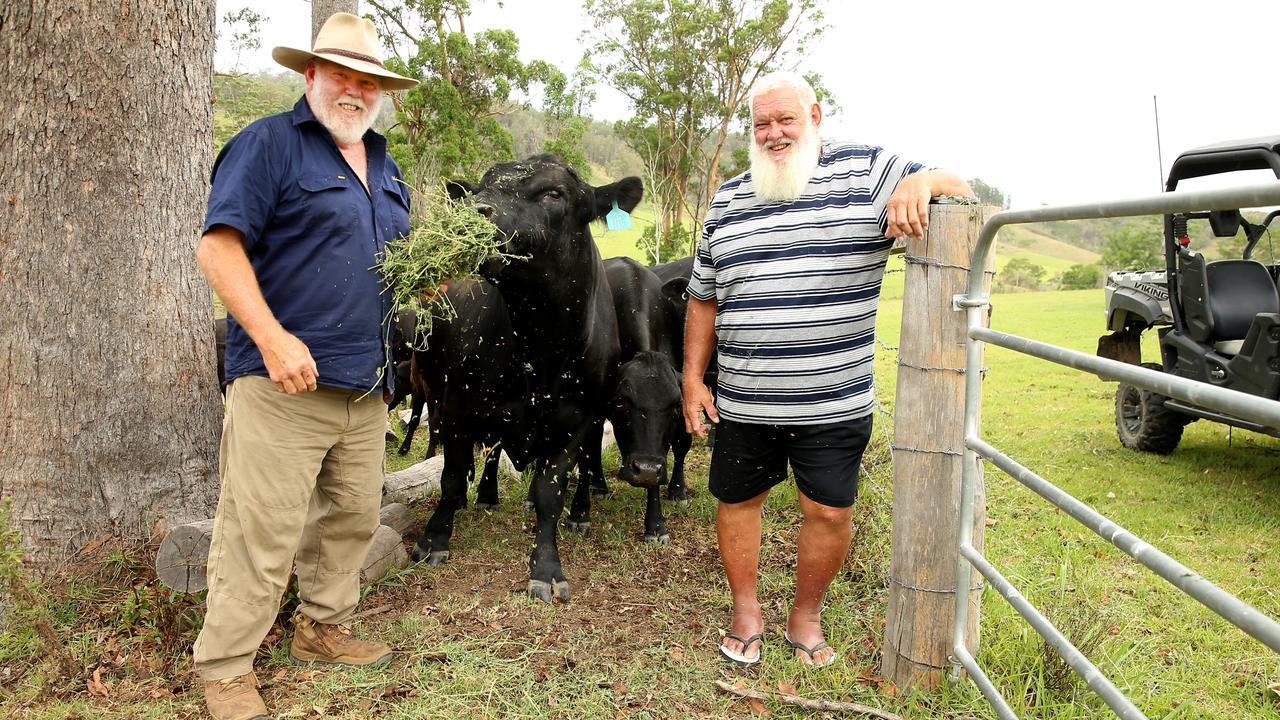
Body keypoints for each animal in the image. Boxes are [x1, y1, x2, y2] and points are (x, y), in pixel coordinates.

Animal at [412, 155, 640, 599]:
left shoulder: (577, 420)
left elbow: (552, 491)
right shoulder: (457, 405)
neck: (542, 349)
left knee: (584, 466)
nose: (474, 212)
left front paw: (547, 566)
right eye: (481, 186)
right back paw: (485, 495)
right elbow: (451, 476)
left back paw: (578, 512)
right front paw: (434, 538)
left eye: (554, 193)